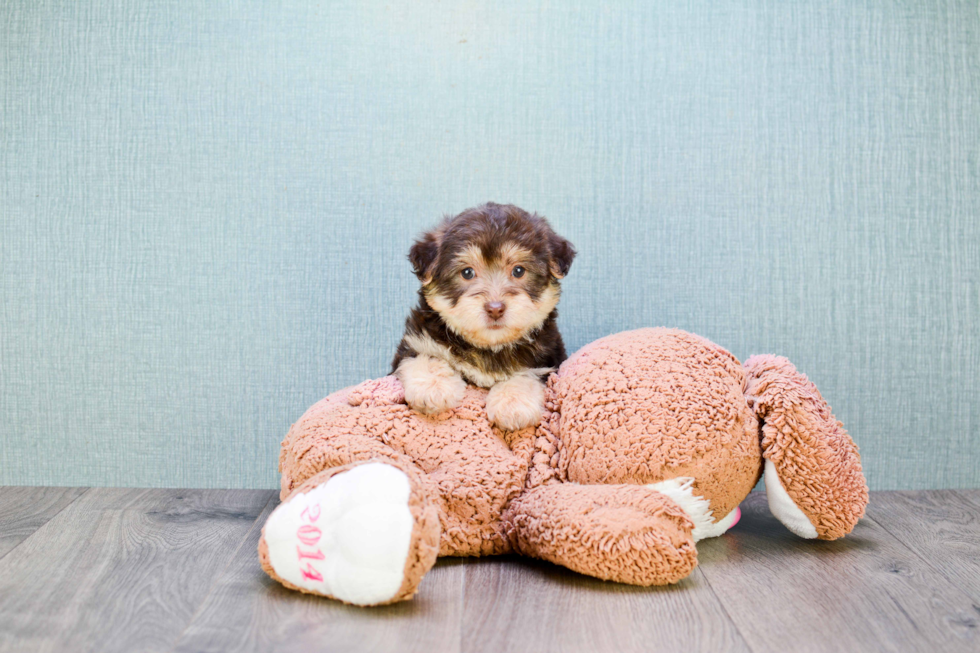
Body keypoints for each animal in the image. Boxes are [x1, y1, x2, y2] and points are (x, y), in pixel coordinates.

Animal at [390, 201, 576, 430]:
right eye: (467, 273)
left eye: (519, 271)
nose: (495, 308)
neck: (489, 348)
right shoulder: (416, 339)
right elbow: (426, 355)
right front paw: (432, 386)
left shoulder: (548, 358)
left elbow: (527, 373)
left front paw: (513, 403)